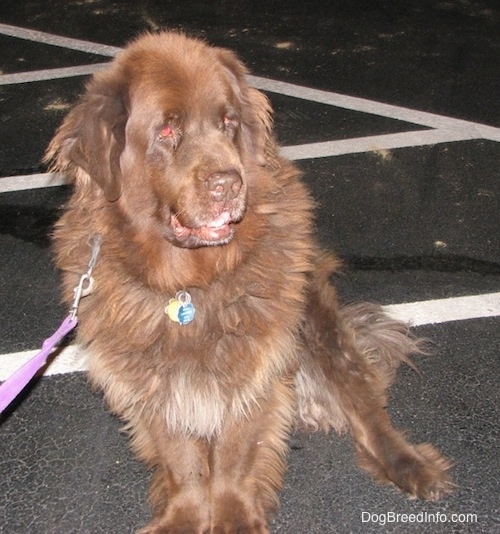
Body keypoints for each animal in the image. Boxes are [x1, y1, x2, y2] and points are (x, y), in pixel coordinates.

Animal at [47, 32, 454, 534]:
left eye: (228, 123)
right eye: (167, 131)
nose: (229, 182)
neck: (190, 284)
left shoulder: (255, 363)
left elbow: (235, 456)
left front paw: (235, 519)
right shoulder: (151, 375)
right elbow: (181, 458)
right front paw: (184, 516)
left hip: (319, 325)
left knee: (366, 406)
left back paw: (413, 466)